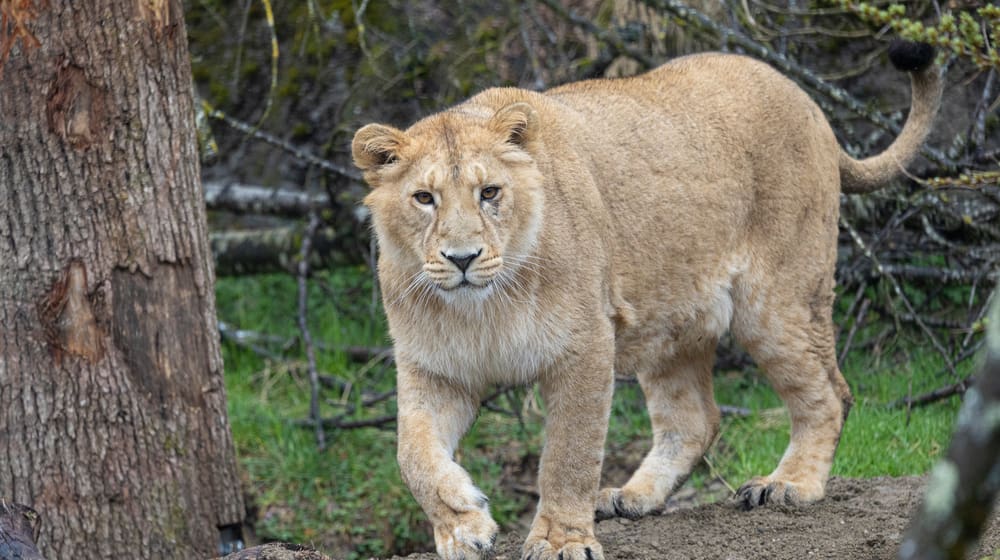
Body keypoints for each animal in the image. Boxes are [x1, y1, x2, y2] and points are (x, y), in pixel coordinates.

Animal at [351, 42, 940, 560]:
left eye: (490, 193)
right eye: (423, 198)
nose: (463, 258)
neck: (483, 308)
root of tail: (805, 97)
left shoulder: (585, 346)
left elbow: (568, 455)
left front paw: (561, 541)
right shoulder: (435, 370)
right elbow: (412, 454)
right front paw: (463, 525)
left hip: (778, 301)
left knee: (830, 393)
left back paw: (789, 485)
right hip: (670, 321)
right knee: (695, 419)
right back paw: (632, 497)